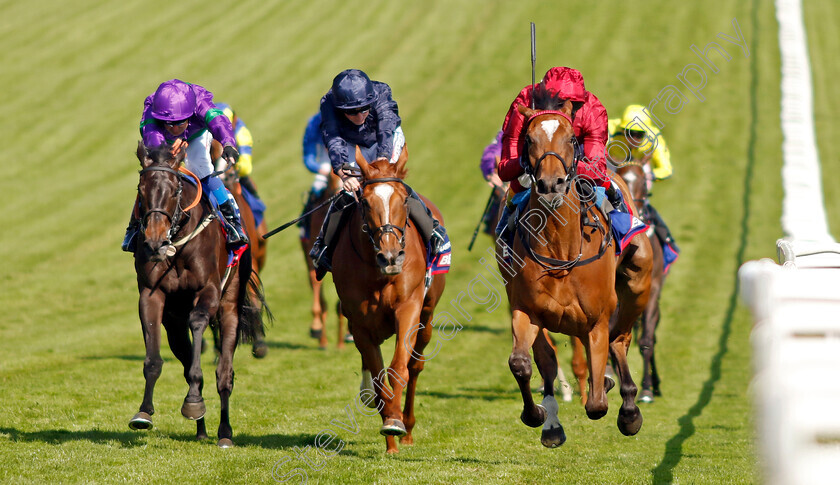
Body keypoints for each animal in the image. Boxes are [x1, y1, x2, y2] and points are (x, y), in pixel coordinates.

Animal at [131, 140, 264, 446]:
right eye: (141, 190)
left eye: (174, 189)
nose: (155, 241)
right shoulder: (152, 294)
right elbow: (154, 359)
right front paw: (144, 412)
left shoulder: (209, 291)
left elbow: (199, 322)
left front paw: (193, 401)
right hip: (174, 324)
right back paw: (201, 428)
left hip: (230, 306)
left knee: (224, 373)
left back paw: (224, 433)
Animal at [332, 146, 446, 452]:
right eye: (365, 202)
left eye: (403, 199)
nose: (391, 257)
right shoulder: (360, 322)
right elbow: (377, 374)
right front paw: (388, 428)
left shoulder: (408, 308)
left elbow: (398, 368)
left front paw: (396, 422)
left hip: (427, 315)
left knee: (415, 365)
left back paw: (407, 428)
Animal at [498, 92, 656, 448]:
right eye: (528, 139)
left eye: (571, 138)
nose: (550, 184)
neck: (561, 248)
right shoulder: (526, 310)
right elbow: (521, 363)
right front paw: (537, 415)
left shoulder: (597, 318)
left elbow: (597, 404)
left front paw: (616, 399)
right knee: (549, 359)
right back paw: (553, 422)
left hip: (638, 285)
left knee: (620, 339)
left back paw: (628, 407)